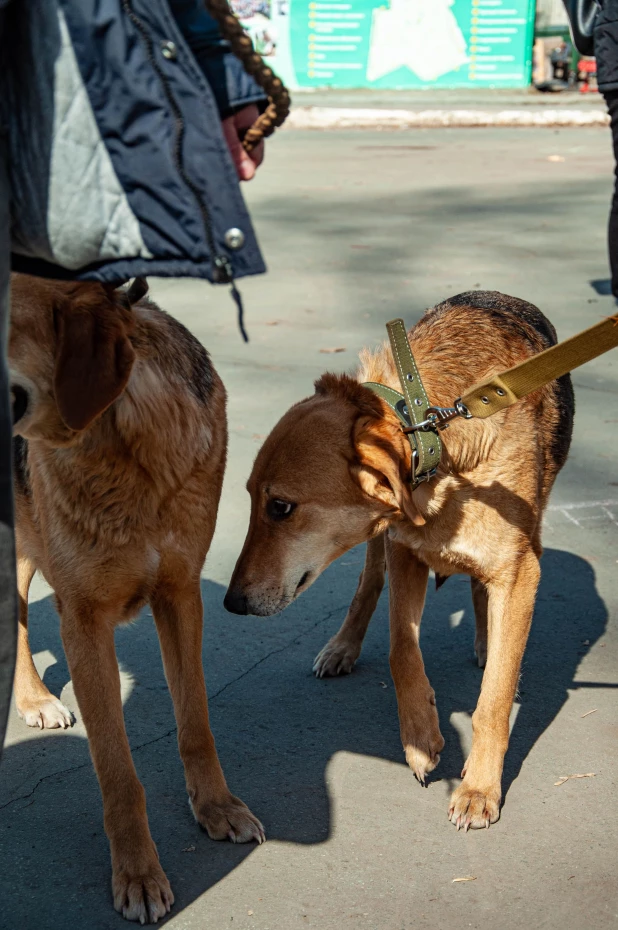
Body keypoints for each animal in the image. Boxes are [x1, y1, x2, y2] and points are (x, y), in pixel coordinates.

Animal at [8, 274, 262, 920]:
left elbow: (195, 722)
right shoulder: (84, 621)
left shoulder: (180, 596)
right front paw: (139, 873)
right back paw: (34, 697)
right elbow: (118, 773)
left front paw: (216, 807)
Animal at [225, 288, 572, 828]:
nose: (232, 603)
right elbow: (401, 651)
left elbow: (493, 698)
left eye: (279, 507)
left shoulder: (519, 572)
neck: (432, 429)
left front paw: (479, 787)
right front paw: (421, 740)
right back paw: (342, 647)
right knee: (368, 587)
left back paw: (487, 641)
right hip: (378, 544)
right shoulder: (405, 552)